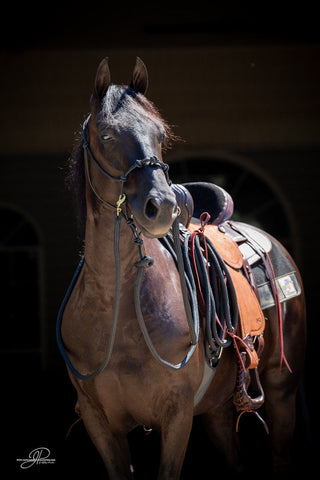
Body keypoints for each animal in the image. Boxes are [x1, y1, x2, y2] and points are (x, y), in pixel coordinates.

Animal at [57, 58, 304, 478]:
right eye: (106, 135)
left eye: (160, 134)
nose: (162, 206)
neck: (116, 307)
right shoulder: (98, 421)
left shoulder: (176, 414)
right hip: (218, 410)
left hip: (281, 386)